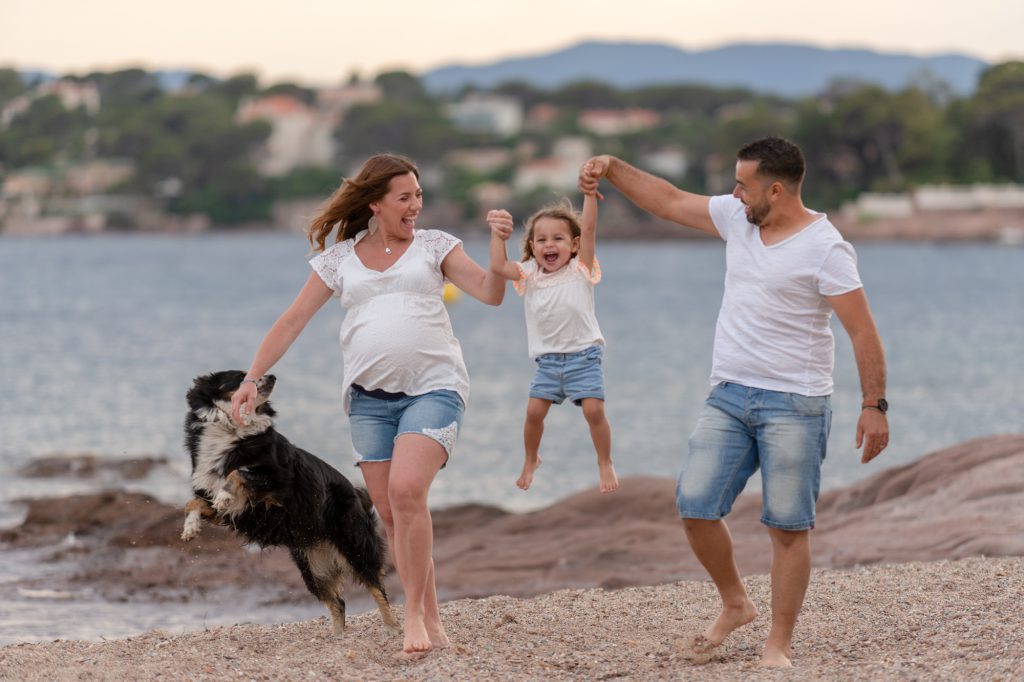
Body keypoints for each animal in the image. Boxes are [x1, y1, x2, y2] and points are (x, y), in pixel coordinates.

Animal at [181, 368, 395, 630]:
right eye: (241, 377)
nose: (272, 376)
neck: (231, 431)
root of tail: (359, 495)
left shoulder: (280, 482)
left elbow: (238, 472)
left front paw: (225, 494)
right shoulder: (222, 506)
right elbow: (194, 502)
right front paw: (190, 527)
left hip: (353, 546)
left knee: (377, 588)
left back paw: (394, 628)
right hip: (310, 565)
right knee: (338, 603)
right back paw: (337, 636)